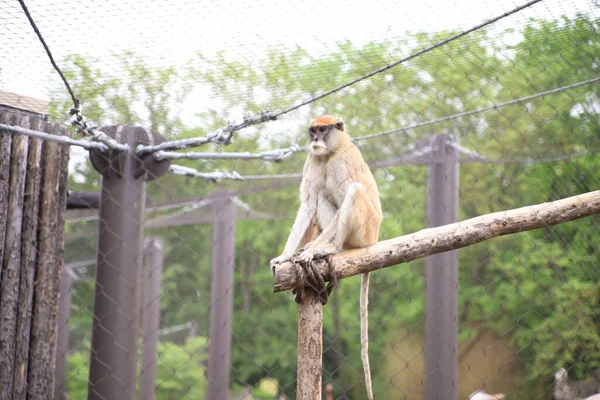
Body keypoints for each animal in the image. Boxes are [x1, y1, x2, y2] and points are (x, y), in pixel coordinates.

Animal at [270, 115, 382, 400]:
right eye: (313, 131)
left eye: (323, 129)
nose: (316, 140)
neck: (330, 151)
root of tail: (374, 240)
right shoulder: (313, 160)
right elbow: (310, 201)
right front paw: (285, 256)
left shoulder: (339, 164)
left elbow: (344, 198)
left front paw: (311, 252)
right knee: (321, 194)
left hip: (364, 229)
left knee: (354, 191)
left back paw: (332, 247)